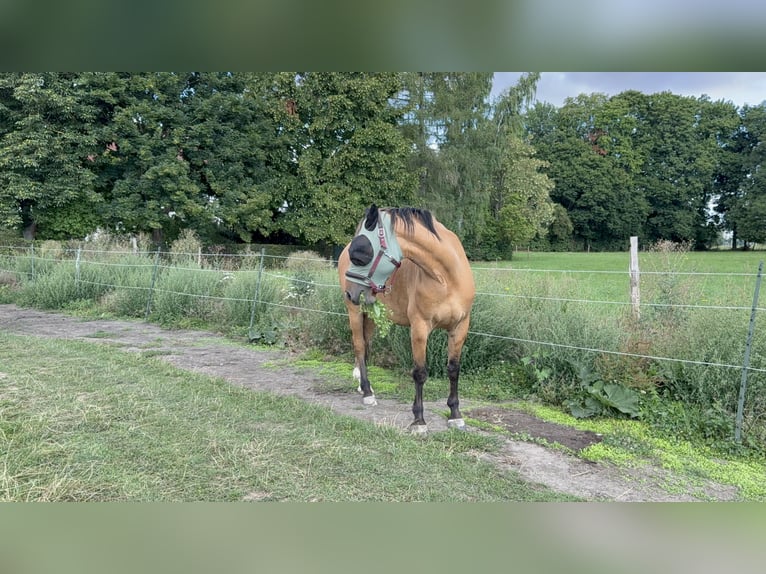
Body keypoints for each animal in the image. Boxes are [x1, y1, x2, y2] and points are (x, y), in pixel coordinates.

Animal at [337, 204, 475, 434]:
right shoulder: (419, 327)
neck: (446, 278)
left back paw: (365, 387)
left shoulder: (460, 327)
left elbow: (454, 370)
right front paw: (419, 421)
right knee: (359, 345)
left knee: (366, 346)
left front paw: (455, 415)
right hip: (355, 312)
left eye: (362, 252)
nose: (351, 293)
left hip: (370, 314)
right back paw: (367, 393)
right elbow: (419, 373)